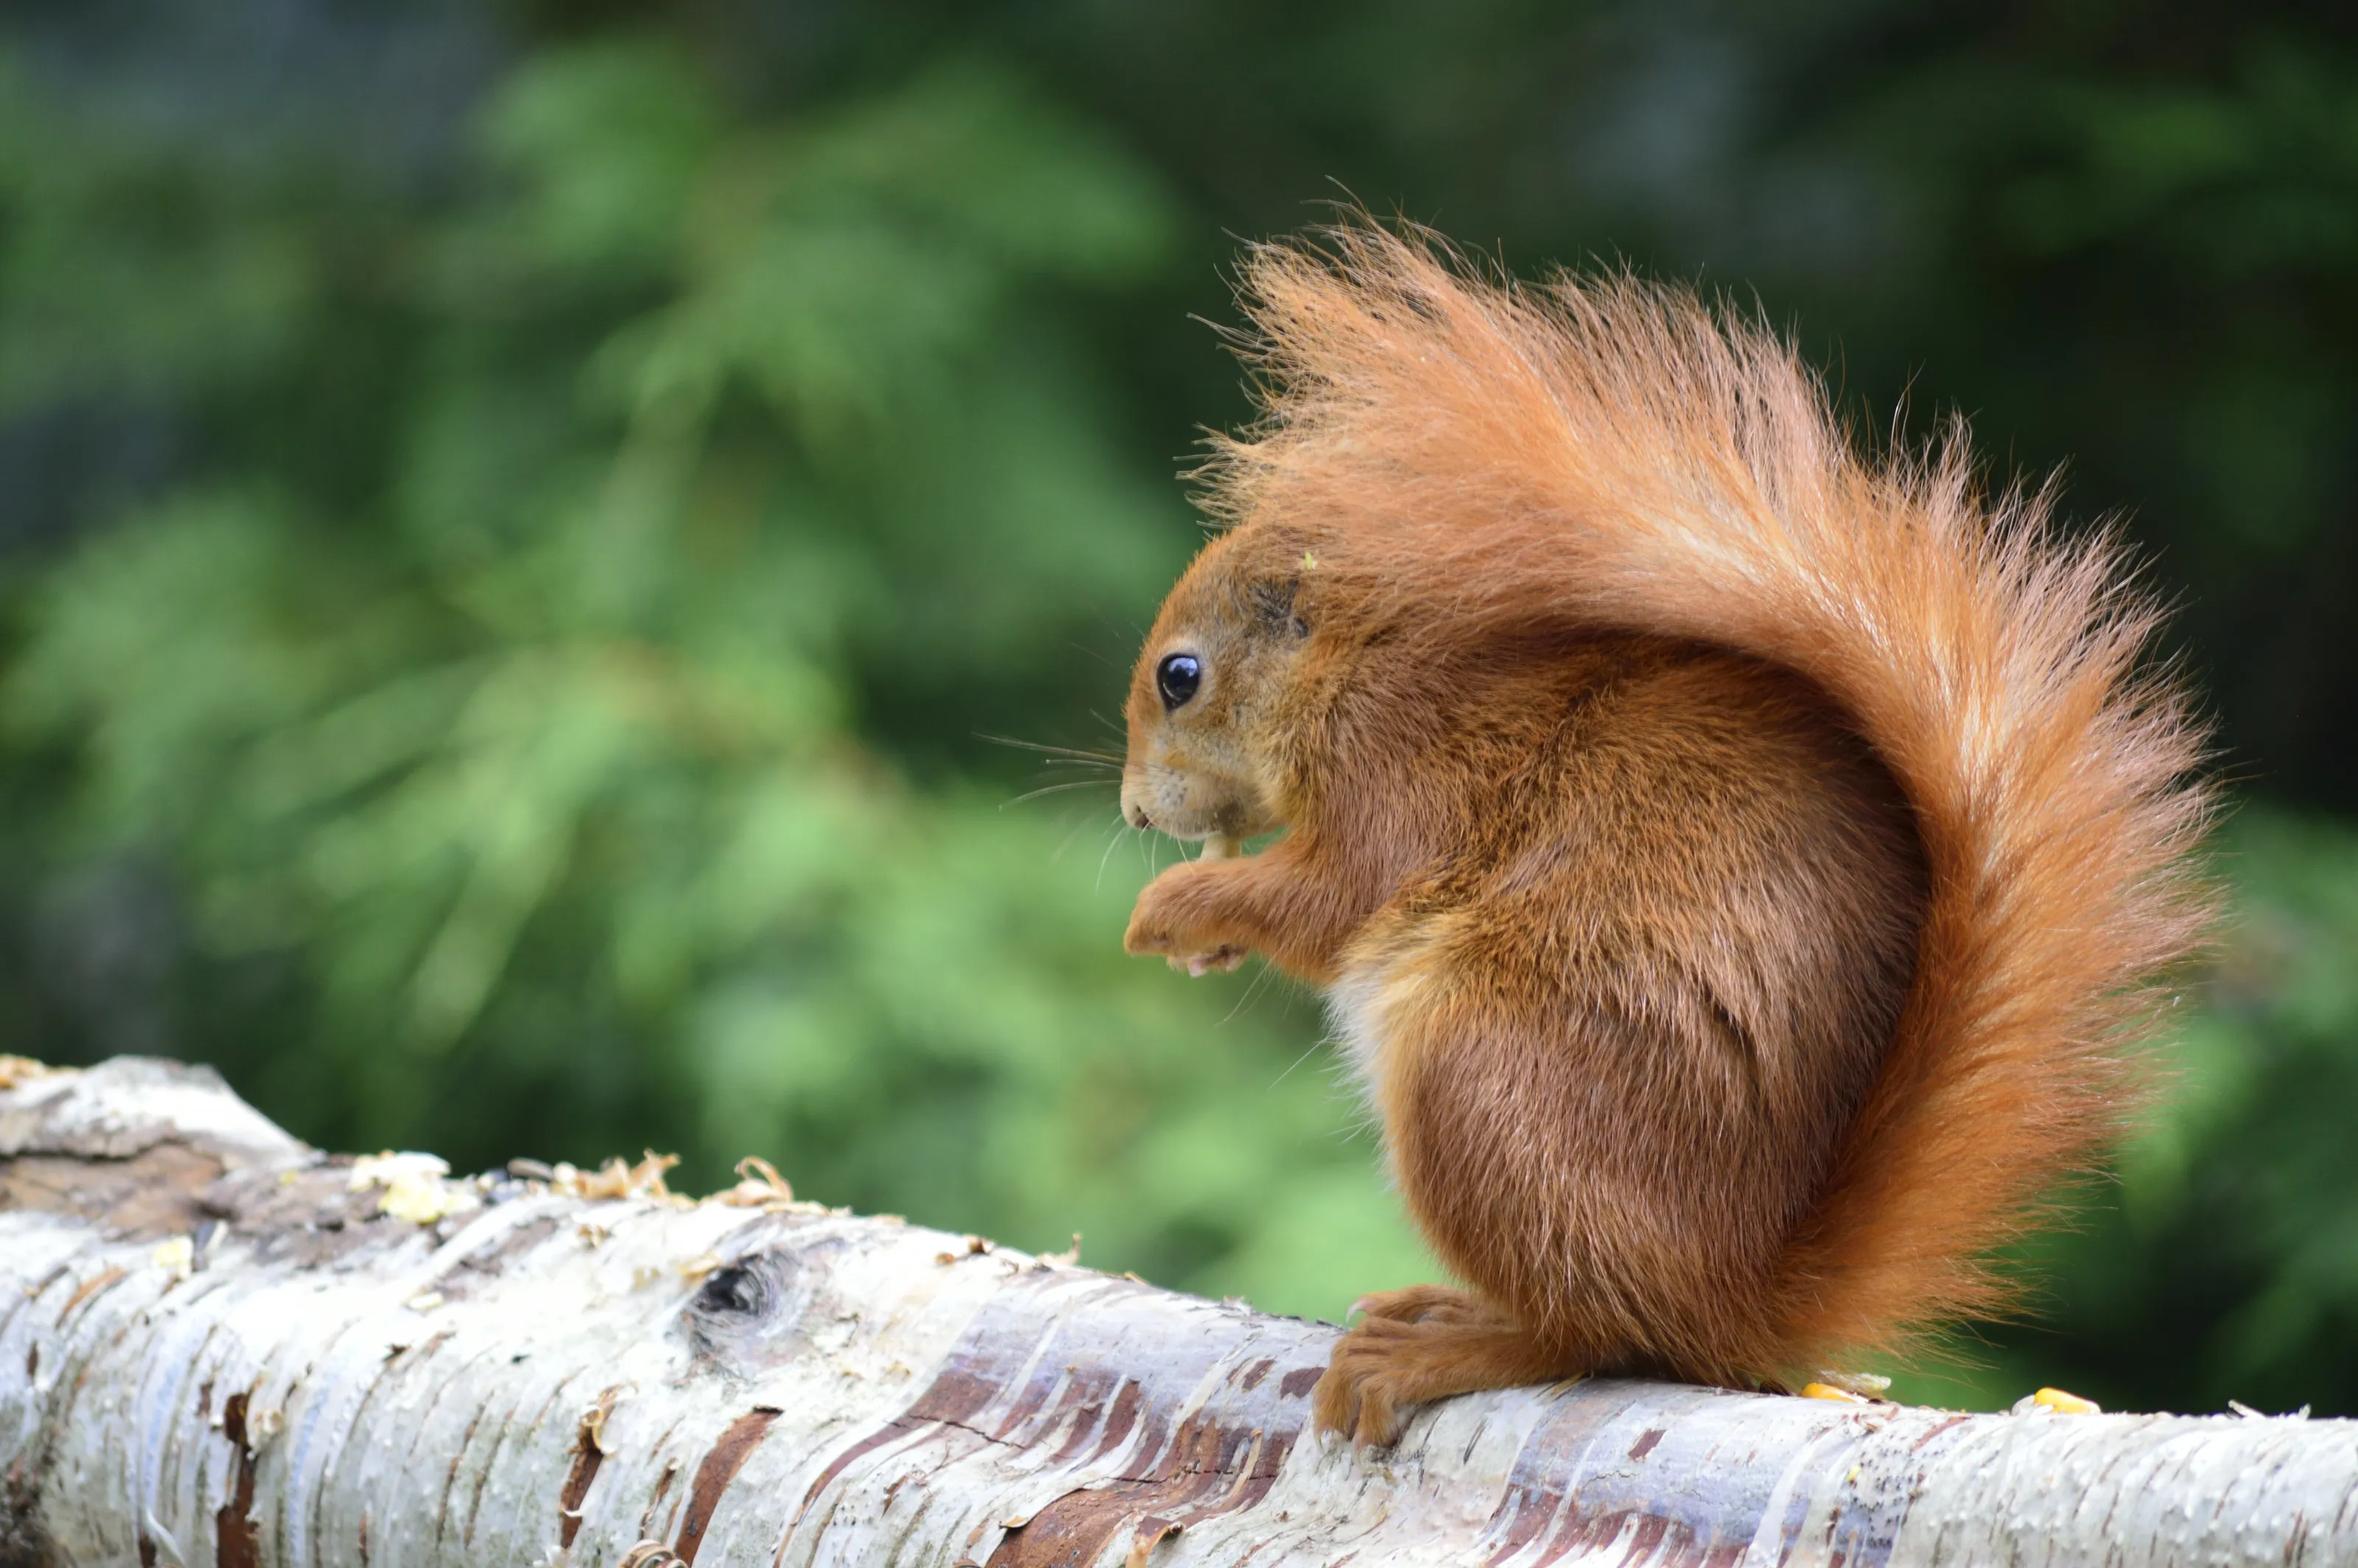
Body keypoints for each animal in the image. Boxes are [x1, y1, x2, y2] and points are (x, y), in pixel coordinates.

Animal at [1117, 223, 2212, 1446]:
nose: (1134, 811)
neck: (1361, 663)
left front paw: (1175, 910)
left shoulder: (1403, 775)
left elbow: (1331, 901)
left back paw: (1442, 1345)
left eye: (1180, 677)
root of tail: (1738, 1302)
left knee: (1596, 1330)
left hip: (1482, 1078)